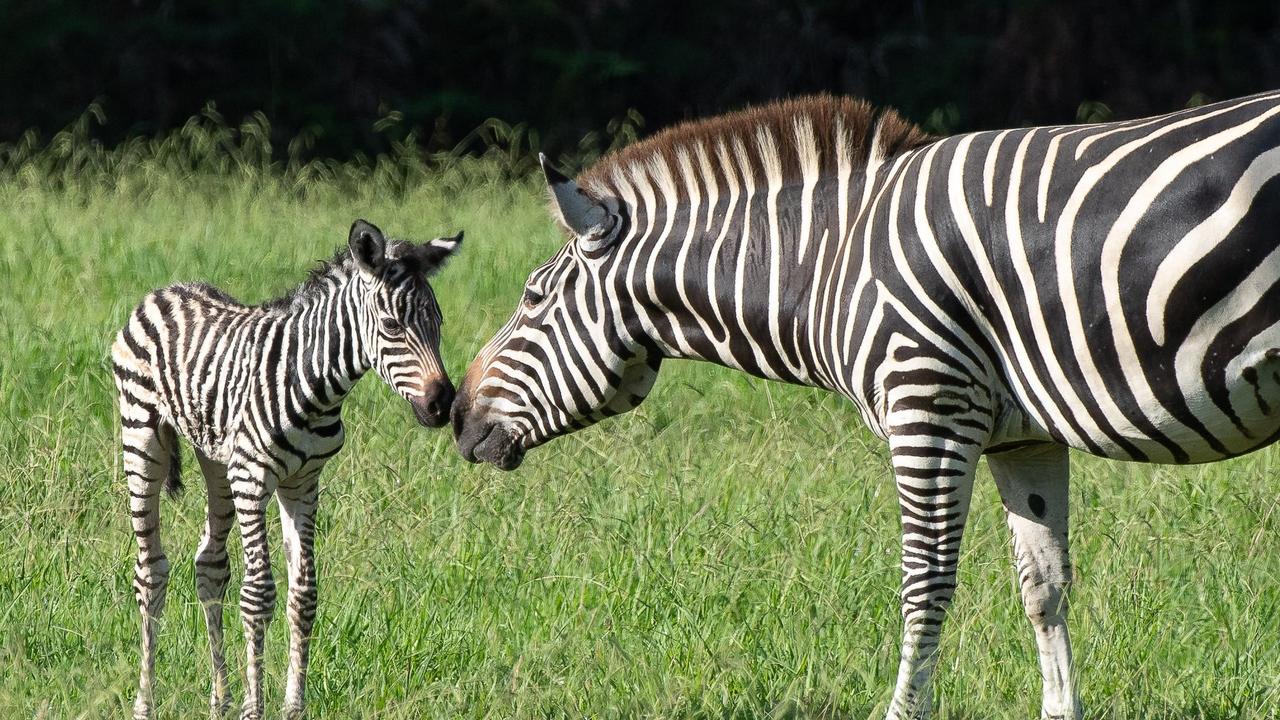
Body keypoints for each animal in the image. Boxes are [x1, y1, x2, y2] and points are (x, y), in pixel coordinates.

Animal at [110, 219, 460, 717]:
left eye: (438, 322)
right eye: (392, 325)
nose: (442, 405)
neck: (315, 383)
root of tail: (164, 290)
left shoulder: (303, 482)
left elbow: (303, 594)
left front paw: (293, 705)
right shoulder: (252, 477)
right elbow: (258, 594)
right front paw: (254, 708)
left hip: (215, 460)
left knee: (210, 565)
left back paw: (219, 700)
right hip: (142, 436)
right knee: (151, 571)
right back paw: (146, 703)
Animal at [455, 90, 1280, 717]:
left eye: (532, 299)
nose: (455, 419)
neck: (830, 258)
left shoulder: (929, 405)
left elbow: (925, 585)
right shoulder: (1022, 436)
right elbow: (1043, 588)